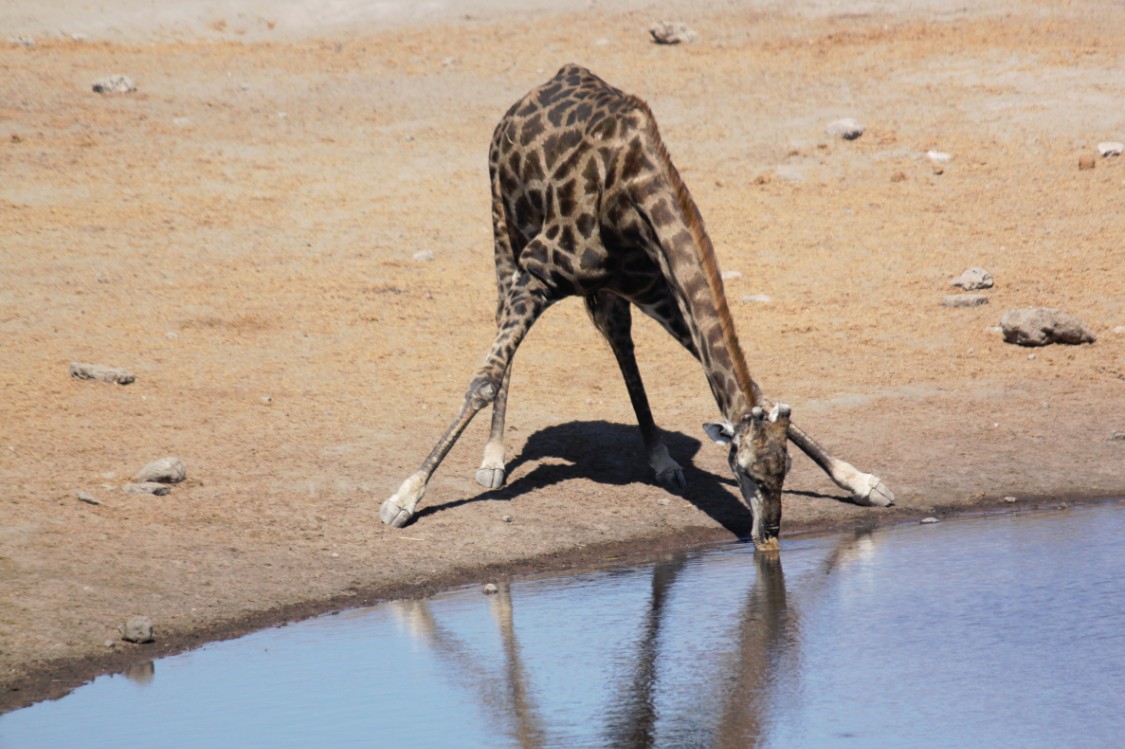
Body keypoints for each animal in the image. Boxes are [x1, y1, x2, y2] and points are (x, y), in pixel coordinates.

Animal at [382, 64, 891, 548]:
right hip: (504, 225)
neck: (630, 198)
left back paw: (661, 459)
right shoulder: (537, 271)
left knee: (619, 343)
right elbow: (482, 382)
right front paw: (404, 498)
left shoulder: (660, 291)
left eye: (784, 471)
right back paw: (493, 458)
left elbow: (752, 390)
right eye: (744, 471)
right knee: (502, 328)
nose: (769, 533)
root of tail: (544, 84)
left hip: (612, 291)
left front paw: (861, 481)